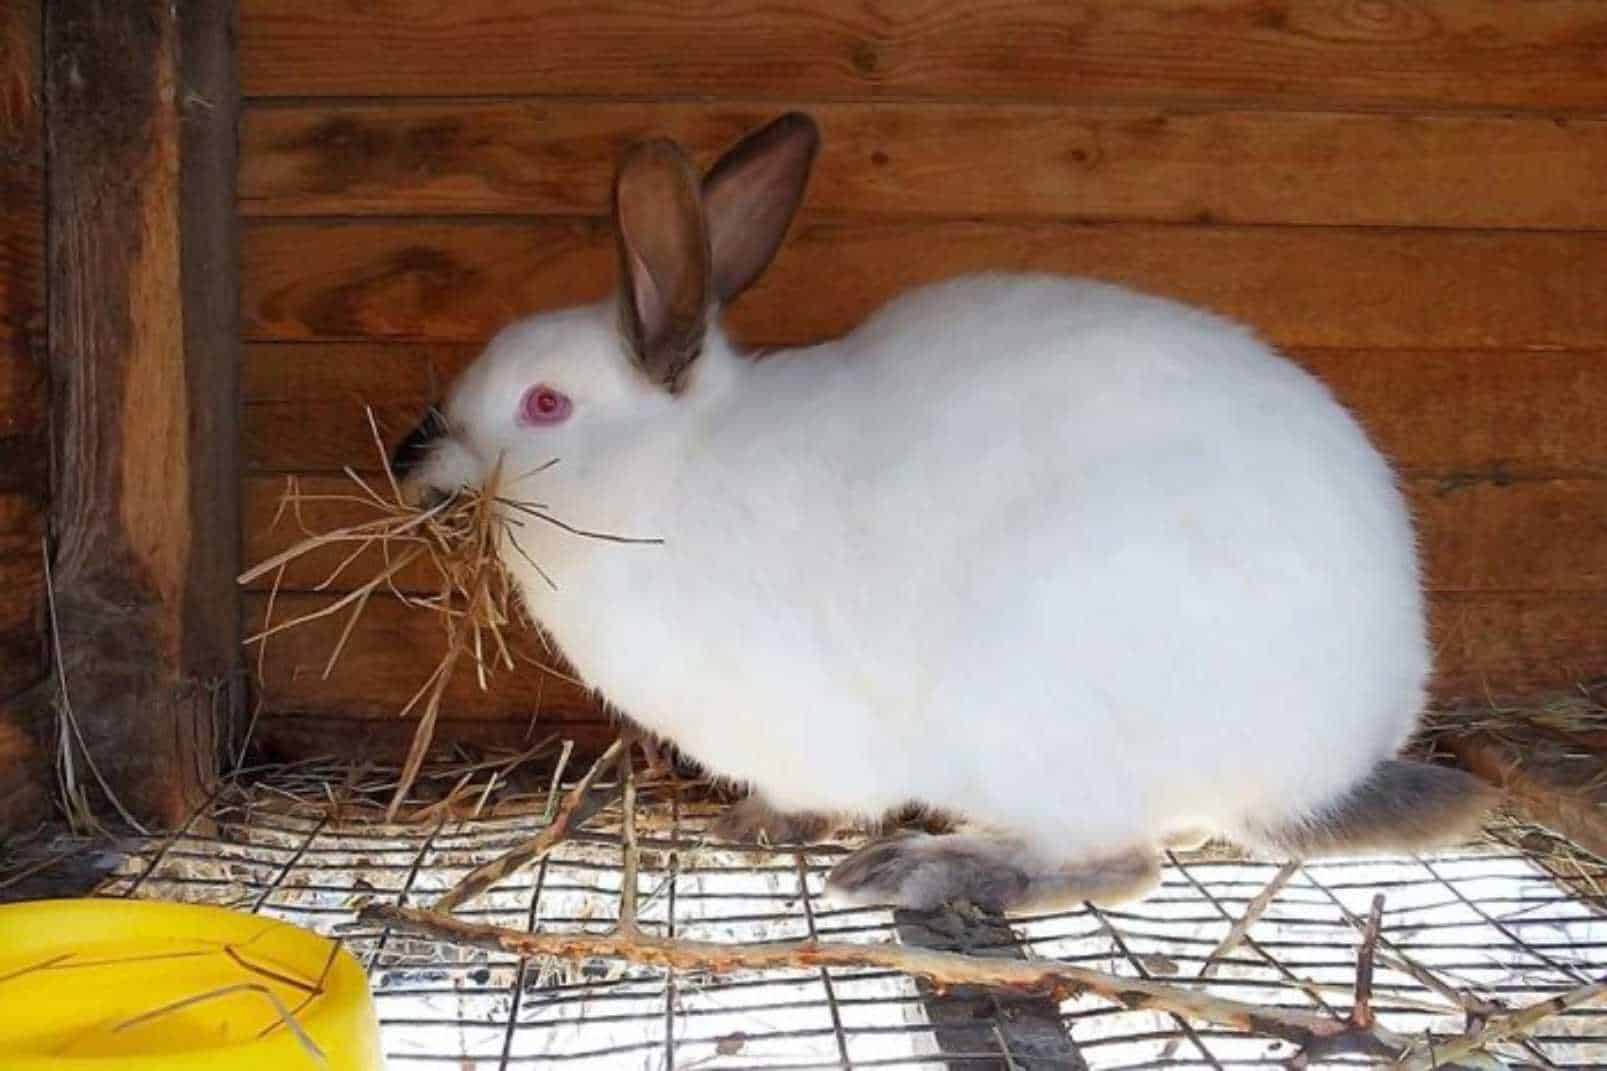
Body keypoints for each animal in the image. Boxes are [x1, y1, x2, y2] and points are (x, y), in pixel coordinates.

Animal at [395, 112, 1497, 906]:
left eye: (543, 404)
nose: (415, 456)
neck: (667, 469)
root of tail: (1329, 758)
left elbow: (810, 793)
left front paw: (756, 825)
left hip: (1034, 715)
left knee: (1116, 862)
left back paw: (927, 869)